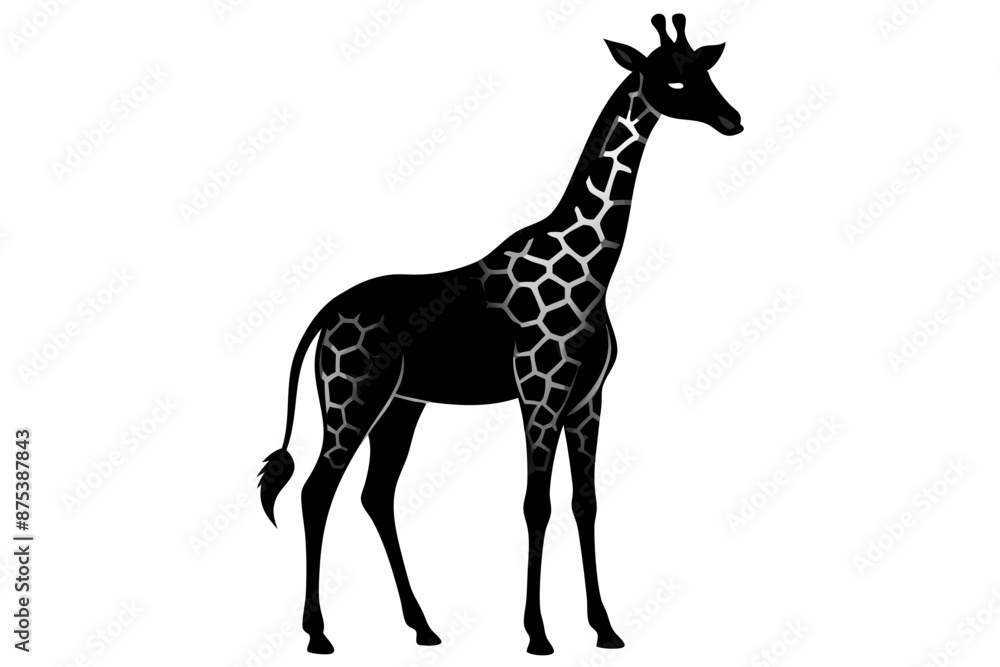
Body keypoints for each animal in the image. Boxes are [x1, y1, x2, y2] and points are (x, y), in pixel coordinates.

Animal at [258, 13, 742, 655]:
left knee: (375, 495)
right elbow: (536, 504)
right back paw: (318, 634)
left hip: (401, 406)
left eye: (706, 71)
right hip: (351, 397)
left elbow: (585, 502)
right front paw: (538, 634)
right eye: (674, 79)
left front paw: (605, 629)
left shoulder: (587, 398)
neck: (593, 266)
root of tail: (325, 313)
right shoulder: (540, 389)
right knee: (317, 492)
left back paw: (423, 626)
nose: (733, 120)